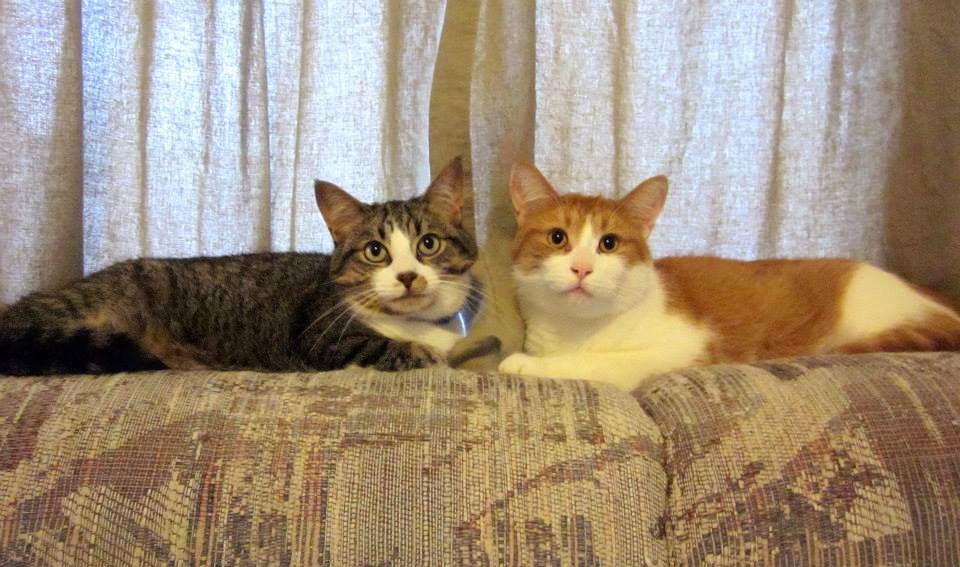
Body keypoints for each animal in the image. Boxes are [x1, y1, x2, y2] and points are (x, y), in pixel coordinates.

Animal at [0, 157, 479, 376]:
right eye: (375, 251)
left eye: (428, 244)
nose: (408, 276)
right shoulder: (322, 339)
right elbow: (389, 347)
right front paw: (426, 351)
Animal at [498, 162, 960, 390]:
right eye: (558, 238)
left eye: (608, 244)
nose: (581, 268)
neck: (574, 330)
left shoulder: (682, 347)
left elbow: (595, 363)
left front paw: (524, 365)